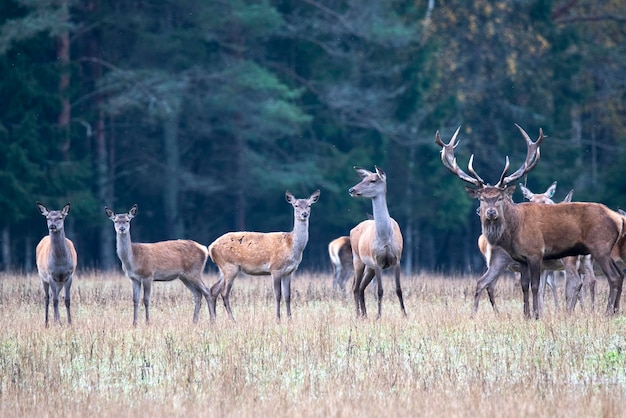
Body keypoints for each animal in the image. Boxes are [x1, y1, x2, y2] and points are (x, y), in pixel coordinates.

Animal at [207, 189, 320, 320]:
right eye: (296, 205)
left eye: (309, 205)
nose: (304, 214)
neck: (291, 246)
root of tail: (211, 247)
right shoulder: (275, 268)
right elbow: (278, 295)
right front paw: (277, 318)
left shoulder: (289, 272)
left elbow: (288, 296)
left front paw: (289, 318)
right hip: (230, 266)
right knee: (224, 293)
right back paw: (232, 320)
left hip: (223, 268)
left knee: (213, 290)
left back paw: (213, 319)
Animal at [346, 165, 404, 318]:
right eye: (362, 179)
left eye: (372, 180)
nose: (351, 190)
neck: (385, 237)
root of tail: (353, 229)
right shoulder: (376, 260)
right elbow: (380, 290)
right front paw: (379, 316)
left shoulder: (397, 259)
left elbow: (398, 289)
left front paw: (404, 314)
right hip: (358, 259)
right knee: (355, 287)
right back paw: (358, 315)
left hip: (369, 267)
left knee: (361, 287)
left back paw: (365, 315)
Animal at [436, 125, 620, 318]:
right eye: (482, 198)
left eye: (500, 197)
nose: (490, 212)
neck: (515, 228)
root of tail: (618, 218)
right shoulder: (523, 258)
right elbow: (525, 286)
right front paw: (527, 315)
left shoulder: (535, 253)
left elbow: (536, 287)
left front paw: (537, 315)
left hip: (595, 249)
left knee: (608, 278)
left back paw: (607, 312)